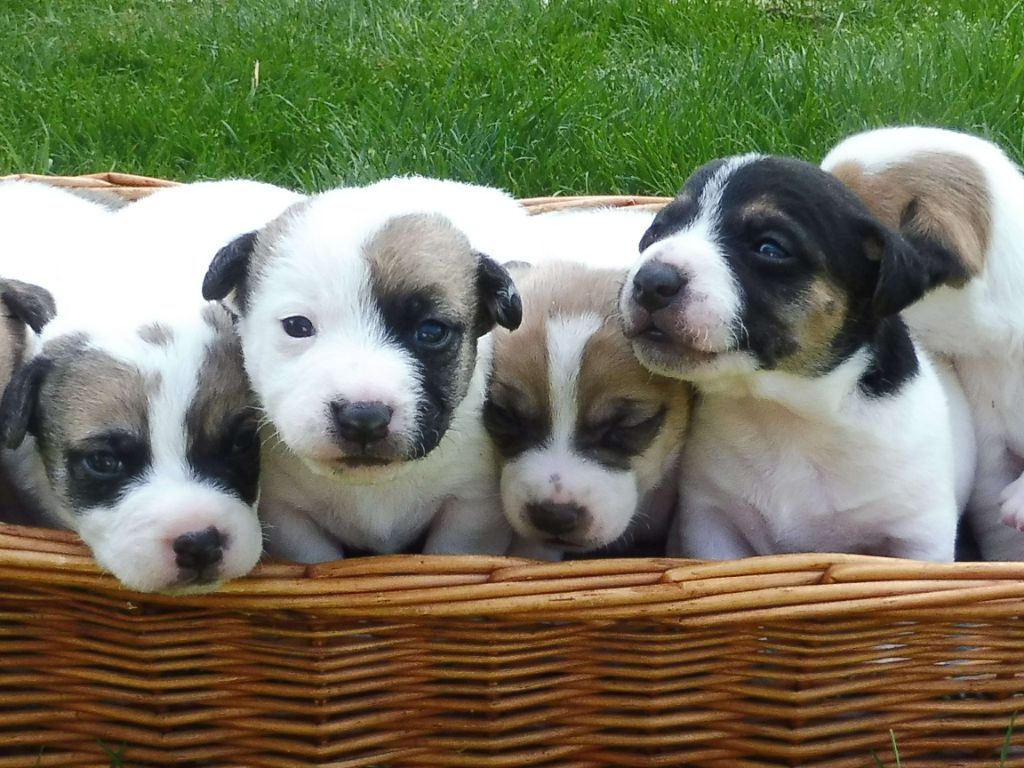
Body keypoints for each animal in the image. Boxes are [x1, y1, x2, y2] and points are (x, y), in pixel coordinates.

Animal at [204, 177, 528, 561]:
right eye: (297, 326)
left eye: (431, 332)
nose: (363, 419)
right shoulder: (288, 516)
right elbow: (318, 559)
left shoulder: (470, 509)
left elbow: (449, 551)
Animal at [614, 157, 974, 565]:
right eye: (656, 233)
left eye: (770, 248)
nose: (649, 282)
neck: (784, 413)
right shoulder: (713, 521)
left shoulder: (919, 538)